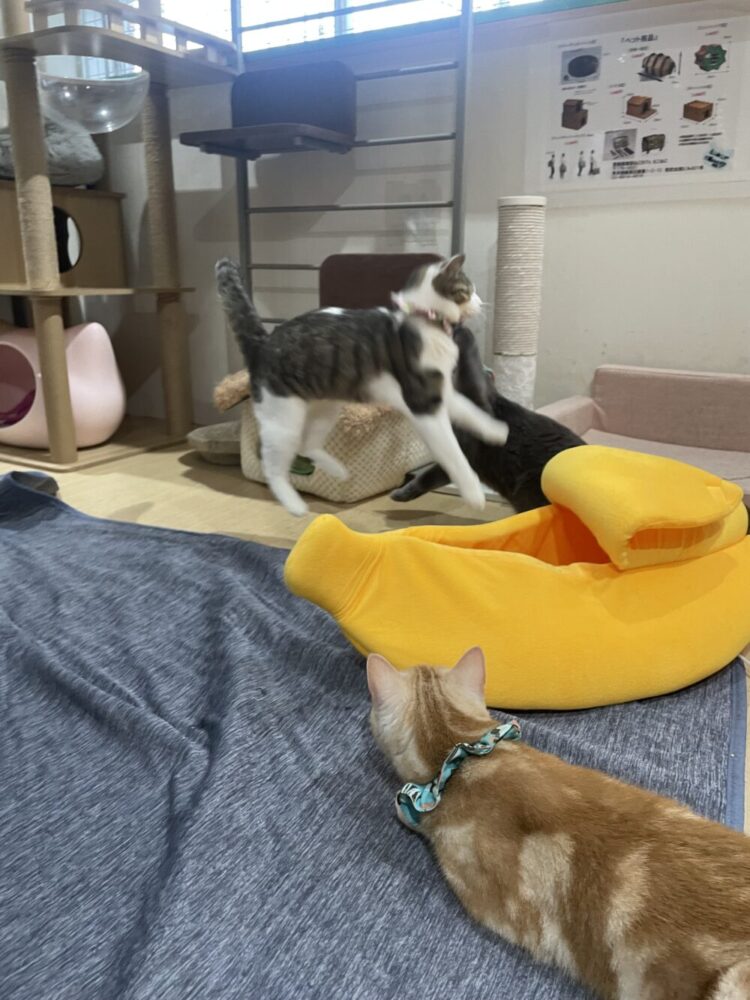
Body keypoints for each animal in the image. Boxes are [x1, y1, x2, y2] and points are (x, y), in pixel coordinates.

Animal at [216, 256, 509, 517]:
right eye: (468, 289)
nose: (480, 302)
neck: (426, 320)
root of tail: (262, 344)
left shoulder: (442, 391)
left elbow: (470, 410)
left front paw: (496, 430)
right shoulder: (424, 401)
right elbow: (452, 451)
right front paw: (474, 493)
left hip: (326, 408)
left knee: (307, 446)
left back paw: (338, 470)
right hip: (283, 418)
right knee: (272, 464)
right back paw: (294, 504)